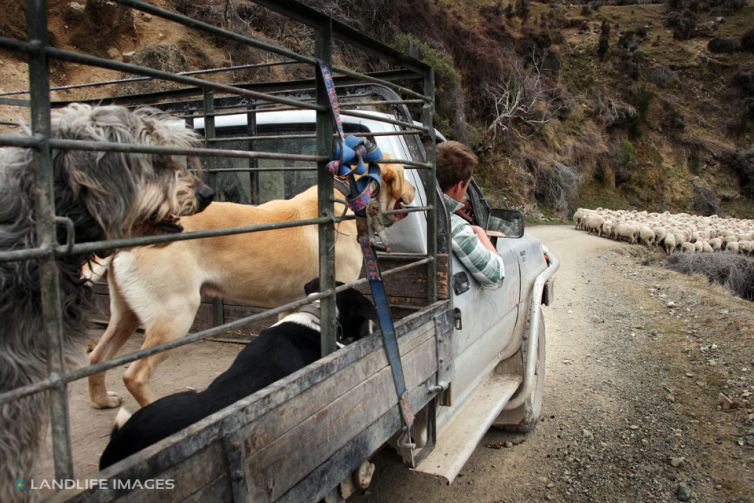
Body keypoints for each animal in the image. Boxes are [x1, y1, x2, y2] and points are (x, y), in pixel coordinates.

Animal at [89, 162, 418, 410]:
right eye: (405, 174)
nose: (416, 188)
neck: (346, 195)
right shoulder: (340, 291)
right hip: (175, 317)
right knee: (134, 375)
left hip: (126, 315)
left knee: (96, 357)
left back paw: (102, 400)